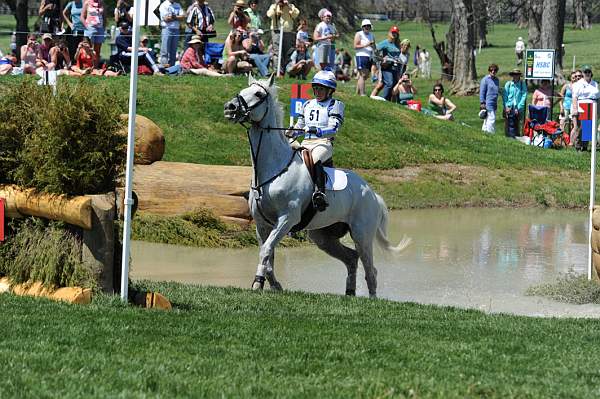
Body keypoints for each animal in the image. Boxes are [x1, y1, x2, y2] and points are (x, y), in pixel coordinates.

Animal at [223, 76, 410, 300]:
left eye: (258, 94)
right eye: (244, 90)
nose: (230, 107)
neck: (273, 167)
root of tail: (373, 194)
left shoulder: (287, 218)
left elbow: (266, 250)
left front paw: (257, 283)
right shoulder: (262, 224)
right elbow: (268, 255)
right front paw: (274, 285)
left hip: (361, 235)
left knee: (370, 268)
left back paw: (372, 299)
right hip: (323, 237)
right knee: (351, 258)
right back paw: (349, 292)